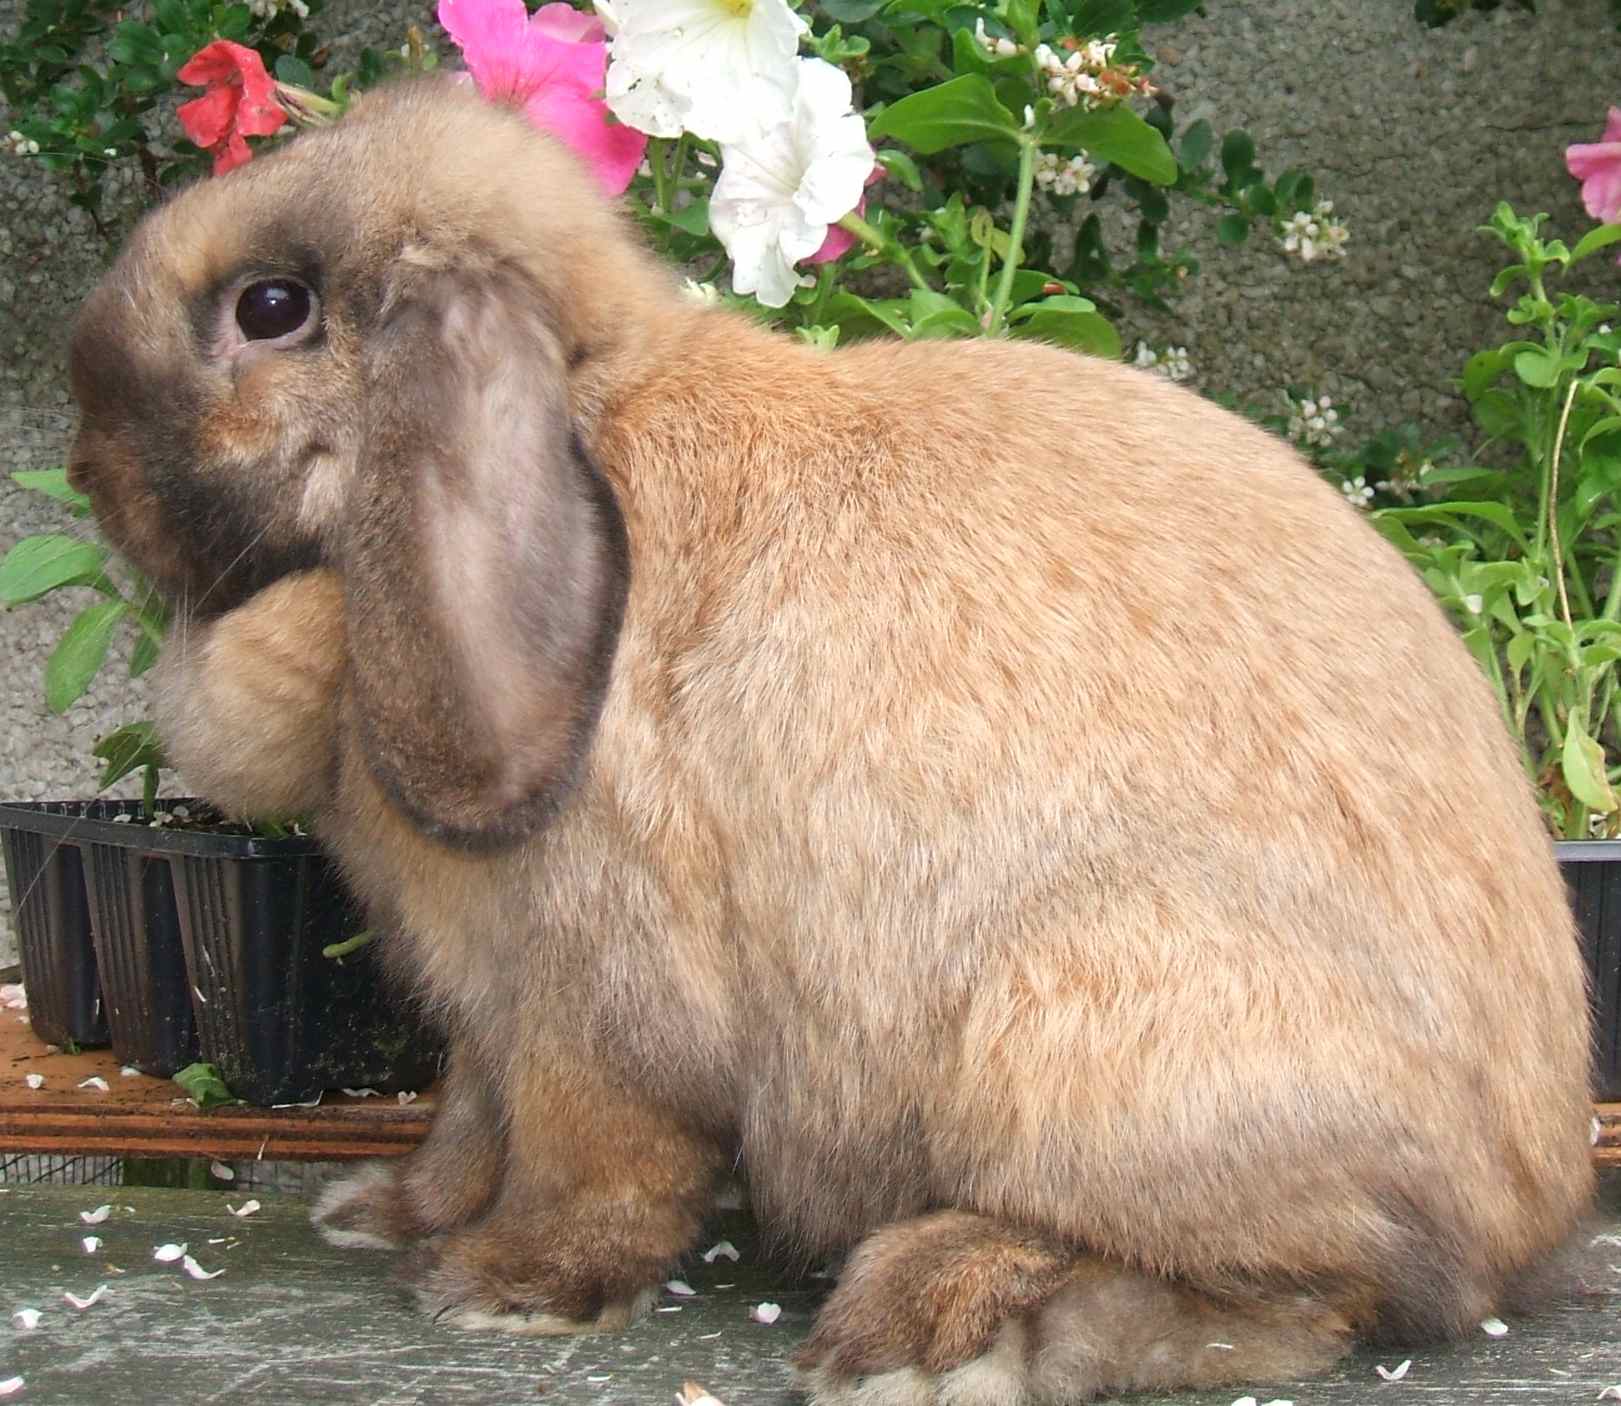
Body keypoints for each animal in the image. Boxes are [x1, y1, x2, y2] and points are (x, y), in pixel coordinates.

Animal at [66, 72, 1594, 1403]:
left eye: (272, 307)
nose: (86, 466)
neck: (587, 415)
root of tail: (1527, 1193)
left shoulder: (589, 993)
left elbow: (591, 1157)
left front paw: (505, 1284)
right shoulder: (480, 1014)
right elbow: (468, 1122)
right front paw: (387, 1210)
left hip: (1081, 1041)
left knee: (1320, 1288)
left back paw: (935, 1324)